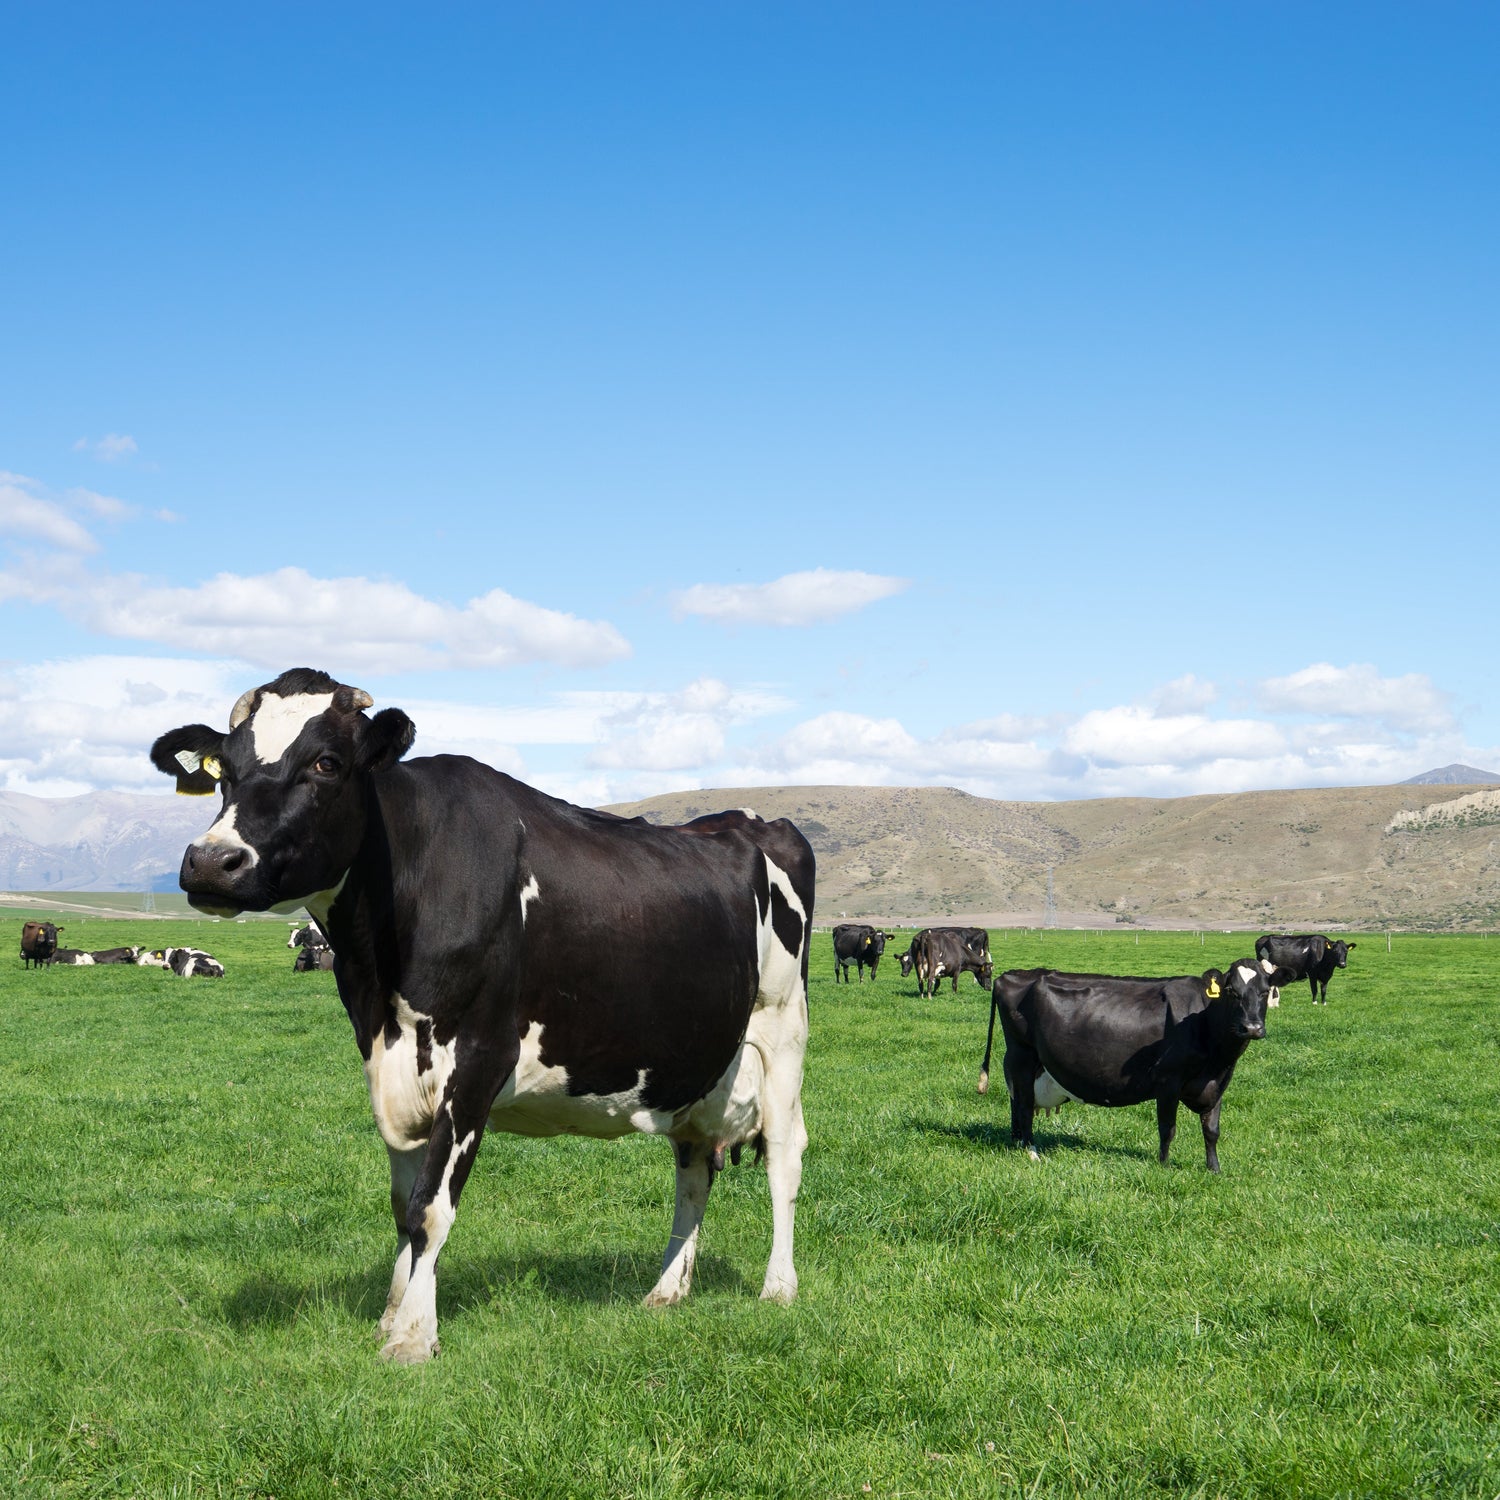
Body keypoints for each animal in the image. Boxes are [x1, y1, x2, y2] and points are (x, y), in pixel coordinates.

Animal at [150, 666, 814, 1364]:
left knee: (783, 1154)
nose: (211, 861)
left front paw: (413, 1336)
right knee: (692, 1166)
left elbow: (430, 1208)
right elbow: (403, 1204)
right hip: (696, 1059)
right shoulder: (387, 1062)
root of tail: (748, 821)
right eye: (225, 767)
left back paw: (778, 1287)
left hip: (782, 1029)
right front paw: (392, 1315)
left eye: (326, 762)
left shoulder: (478, 1059)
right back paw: (666, 1290)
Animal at [977, 959, 1288, 1171]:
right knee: (1023, 1105)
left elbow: (1212, 1130)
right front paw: (1164, 1166)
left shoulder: (1218, 1082)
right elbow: (1168, 1127)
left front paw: (1214, 1169)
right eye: (1231, 991)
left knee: (1017, 1102)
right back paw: (1031, 1151)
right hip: (1022, 1055)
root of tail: (1012, 975)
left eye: (1264, 992)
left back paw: (1018, 1143)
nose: (1251, 1027)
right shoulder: (1168, 1079)